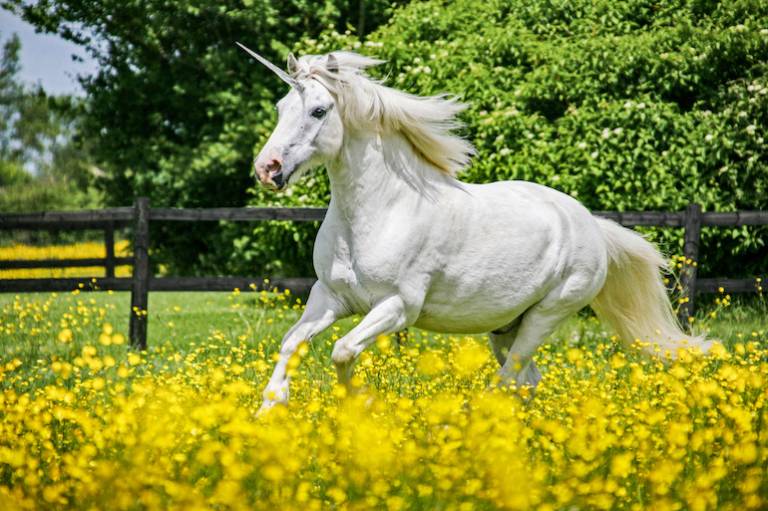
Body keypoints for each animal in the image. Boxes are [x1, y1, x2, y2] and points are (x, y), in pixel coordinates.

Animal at [235, 43, 711, 411]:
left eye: (319, 110)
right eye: (281, 107)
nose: (267, 168)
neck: (382, 210)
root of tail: (591, 225)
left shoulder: (397, 307)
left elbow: (342, 350)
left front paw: (362, 403)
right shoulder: (330, 296)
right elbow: (291, 343)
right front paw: (269, 409)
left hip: (547, 315)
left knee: (508, 380)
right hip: (508, 327)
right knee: (526, 381)